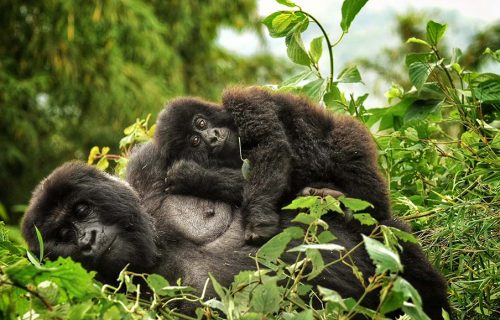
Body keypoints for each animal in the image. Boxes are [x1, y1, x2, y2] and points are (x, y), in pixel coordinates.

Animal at [152, 86, 390, 241]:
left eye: (201, 122)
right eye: (194, 141)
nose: (212, 137)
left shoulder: (245, 101)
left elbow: (271, 147)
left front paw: (258, 221)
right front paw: (194, 178)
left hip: (352, 138)